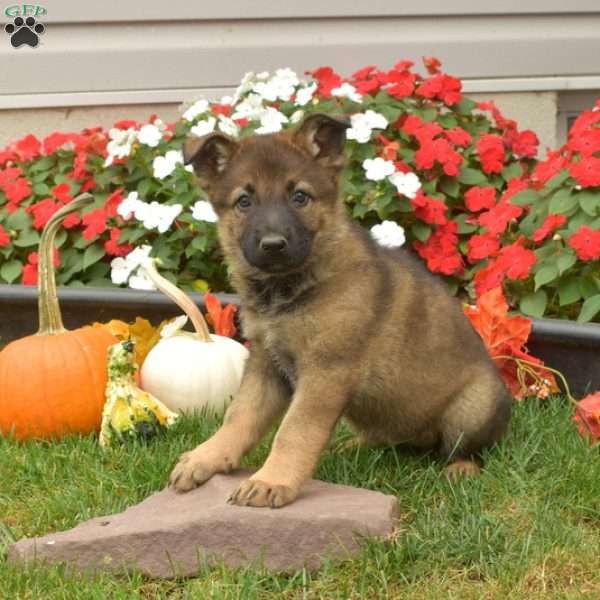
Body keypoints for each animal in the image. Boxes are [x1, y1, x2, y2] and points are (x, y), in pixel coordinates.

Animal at [169, 115, 510, 508]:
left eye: (300, 196)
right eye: (244, 201)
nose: (273, 245)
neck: (289, 290)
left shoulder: (326, 371)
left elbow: (295, 430)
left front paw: (272, 480)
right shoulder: (266, 365)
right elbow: (239, 415)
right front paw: (206, 458)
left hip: (473, 407)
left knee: (468, 448)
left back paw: (461, 467)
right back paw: (355, 446)